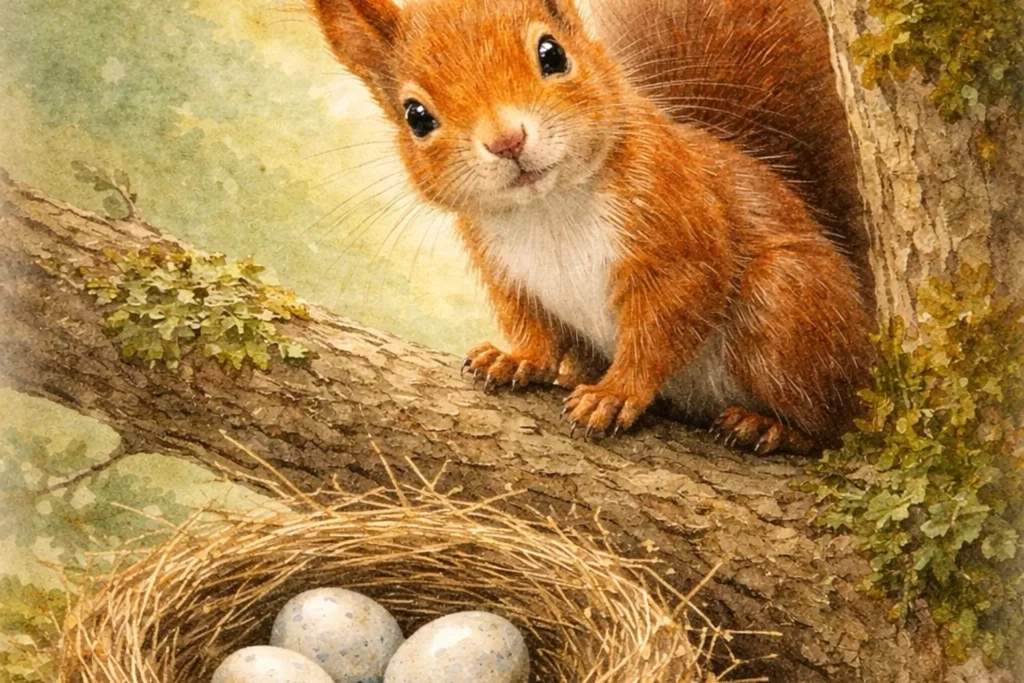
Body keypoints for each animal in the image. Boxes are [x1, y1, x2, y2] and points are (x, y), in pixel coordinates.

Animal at [311, 0, 874, 454]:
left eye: (552, 54)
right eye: (416, 115)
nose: (507, 140)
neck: (548, 209)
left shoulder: (679, 229)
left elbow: (661, 327)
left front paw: (615, 393)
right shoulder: (504, 271)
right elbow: (532, 324)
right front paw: (516, 359)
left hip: (786, 306)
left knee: (834, 423)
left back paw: (772, 427)